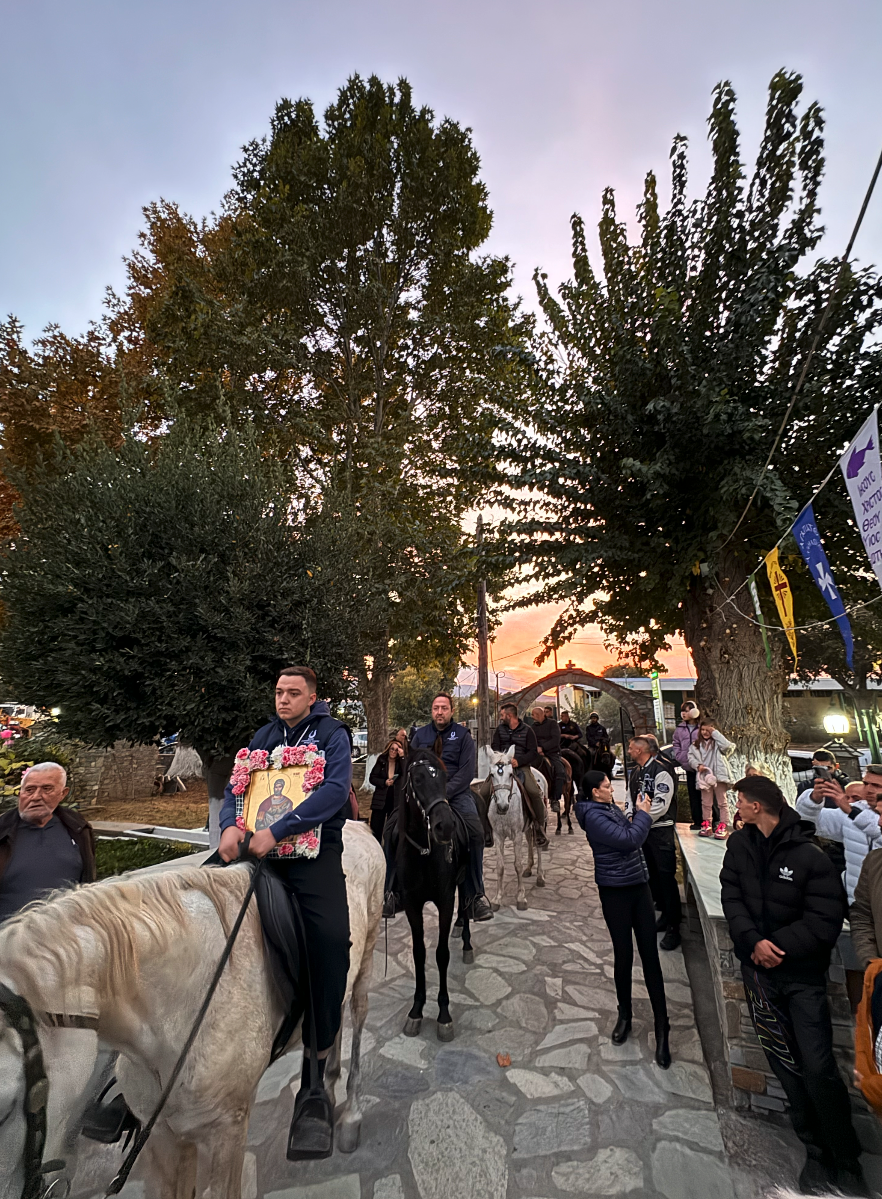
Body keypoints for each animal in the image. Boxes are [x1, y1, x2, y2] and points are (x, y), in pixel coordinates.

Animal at [0, 824, 385, 1199]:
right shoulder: (161, 1134)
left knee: (355, 1017)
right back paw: (326, 1089)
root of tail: (358, 826)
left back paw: (346, 1115)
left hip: (363, 963)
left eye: (3, 1110)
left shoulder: (226, 1132)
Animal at [395, 748, 472, 1040]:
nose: (445, 827)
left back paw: (467, 942)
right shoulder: (412, 905)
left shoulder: (445, 901)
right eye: (416, 779)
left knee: (468, 905)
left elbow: (441, 954)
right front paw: (416, 1010)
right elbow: (419, 953)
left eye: (444, 777)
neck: (424, 854)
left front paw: (444, 1014)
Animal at [481, 748, 544, 906]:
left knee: (539, 847)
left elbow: (517, 865)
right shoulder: (498, 835)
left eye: (510, 774)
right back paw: (529, 868)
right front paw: (497, 898)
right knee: (530, 840)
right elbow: (500, 866)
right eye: (492, 774)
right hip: (527, 827)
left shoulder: (517, 834)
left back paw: (540, 876)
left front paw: (521, 896)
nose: (502, 806)